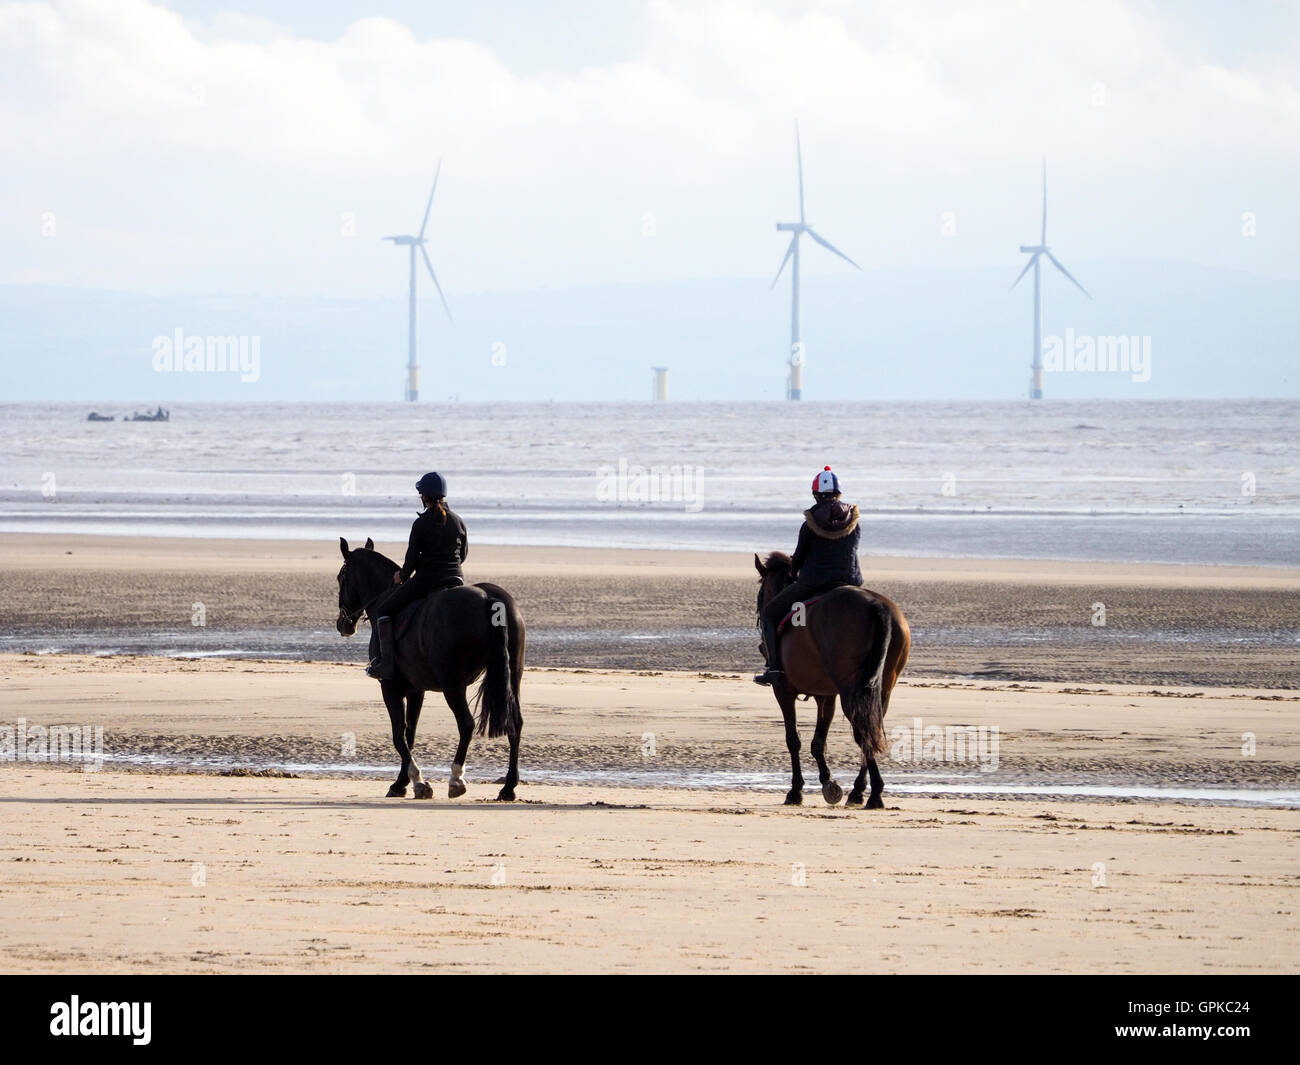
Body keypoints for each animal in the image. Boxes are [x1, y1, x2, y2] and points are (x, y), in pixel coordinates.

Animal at [338, 540, 525, 801]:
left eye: (340, 578)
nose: (343, 625)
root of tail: (490, 599)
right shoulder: (416, 690)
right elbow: (410, 734)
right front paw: (402, 782)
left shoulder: (390, 687)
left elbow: (398, 735)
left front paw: (414, 782)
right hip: (511, 678)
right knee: (514, 724)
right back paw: (508, 787)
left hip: (452, 684)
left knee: (466, 724)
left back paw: (456, 779)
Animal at [754, 559, 915, 806]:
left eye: (761, 592)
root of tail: (875, 604)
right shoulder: (826, 696)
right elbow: (818, 742)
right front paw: (828, 783)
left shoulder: (783, 690)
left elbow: (793, 740)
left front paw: (796, 790)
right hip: (882, 689)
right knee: (872, 730)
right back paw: (859, 791)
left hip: (851, 690)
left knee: (862, 732)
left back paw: (874, 794)